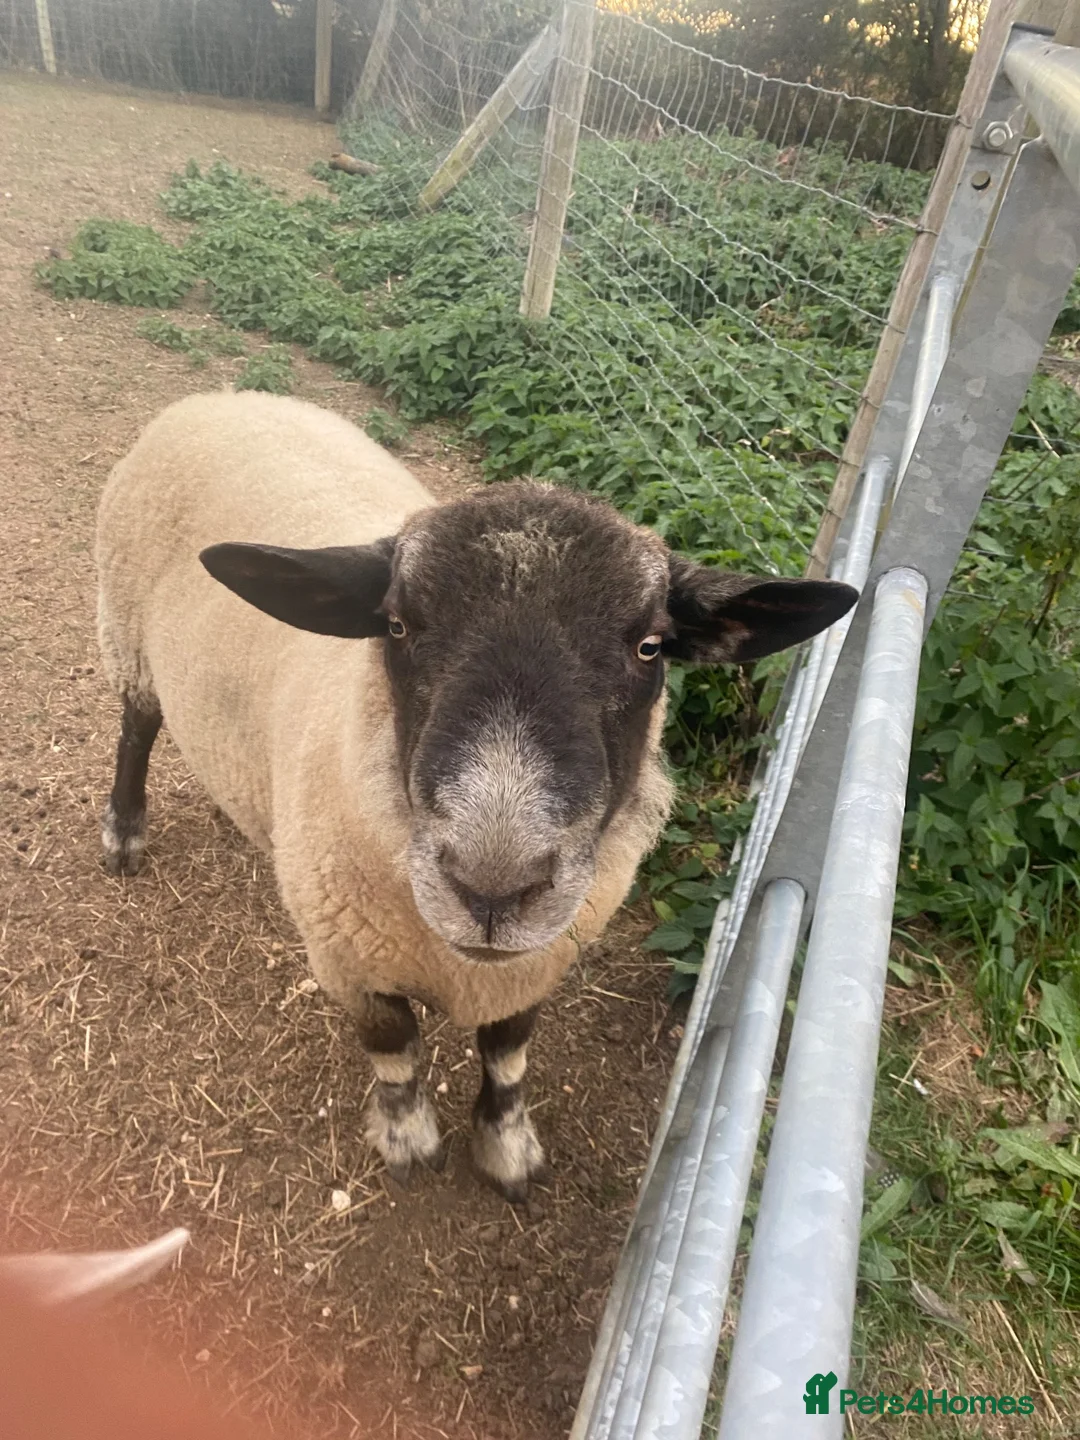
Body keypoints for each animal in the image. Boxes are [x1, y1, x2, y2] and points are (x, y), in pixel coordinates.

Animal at [95, 391, 857, 1201]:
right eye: (397, 625)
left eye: (649, 646)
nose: (494, 888)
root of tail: (226, 396)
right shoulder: (351, 961)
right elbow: (395, 1048)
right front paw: (407, 1138)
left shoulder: (537, 961)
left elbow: (508, 1054)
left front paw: (506, 1146)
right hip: (126, 631)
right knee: (138, 725)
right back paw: (124, 831)